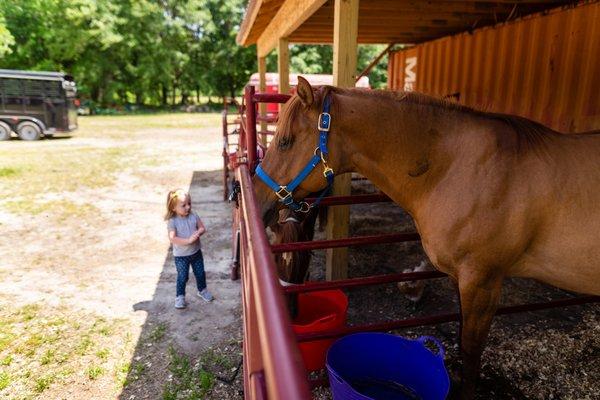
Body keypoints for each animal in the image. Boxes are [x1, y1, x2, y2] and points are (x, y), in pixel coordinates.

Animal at [253, 76, 600, 398]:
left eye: (284, 142)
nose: (254, 199)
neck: (460, 170)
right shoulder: (462, 279)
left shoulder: (483, 281)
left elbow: (471, 351)